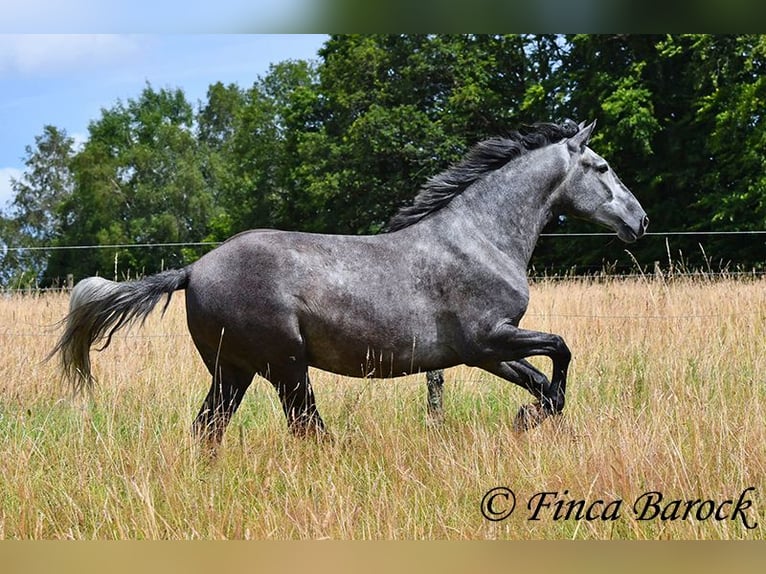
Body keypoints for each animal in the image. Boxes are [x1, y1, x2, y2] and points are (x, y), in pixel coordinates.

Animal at [51, 120, 648, 446]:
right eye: (601, 167)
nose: (639, 221)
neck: (480, 236)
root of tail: (194, 269)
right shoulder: (489, 338)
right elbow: (560, 354)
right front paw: (528, 420)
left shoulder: (481, 352)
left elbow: (542, 382)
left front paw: (527, 420)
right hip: (286, 369)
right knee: (305, 429)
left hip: (232, 373)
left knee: (208, 430)